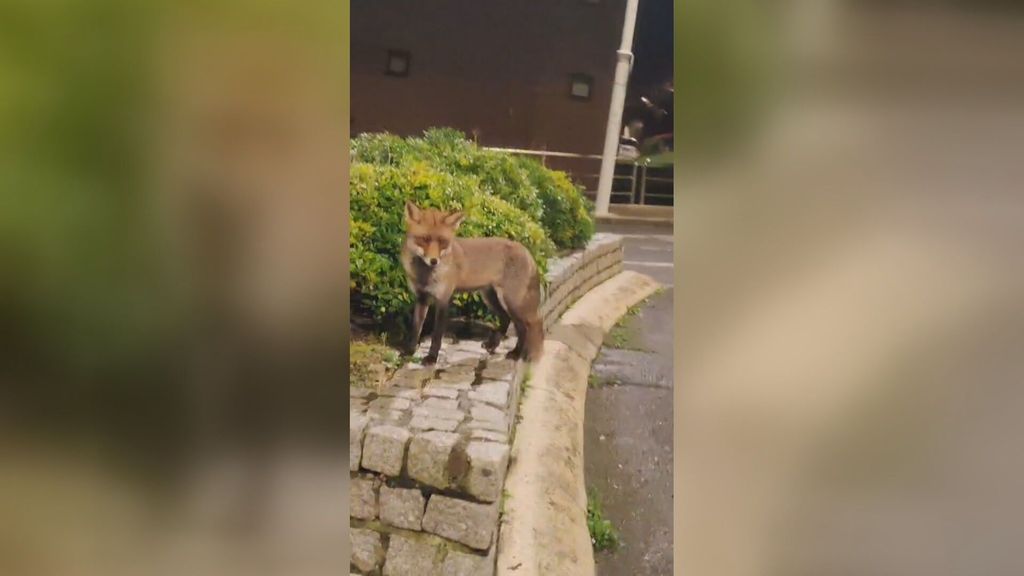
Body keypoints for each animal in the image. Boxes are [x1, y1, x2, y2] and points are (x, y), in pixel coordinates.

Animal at [400, 201, 544, 365]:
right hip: (491, 298)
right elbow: (415, 329)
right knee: (508, 320)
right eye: (424, 239)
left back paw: (522, 354)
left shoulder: (443, 300)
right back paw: (497, 346)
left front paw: (432, 357)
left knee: (529, 325)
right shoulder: (421, 298)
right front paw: (409, 352)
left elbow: (437, 335)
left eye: (443, 242)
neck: (425, 275)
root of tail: (526, 250)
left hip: (513, 302)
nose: (434, 261)